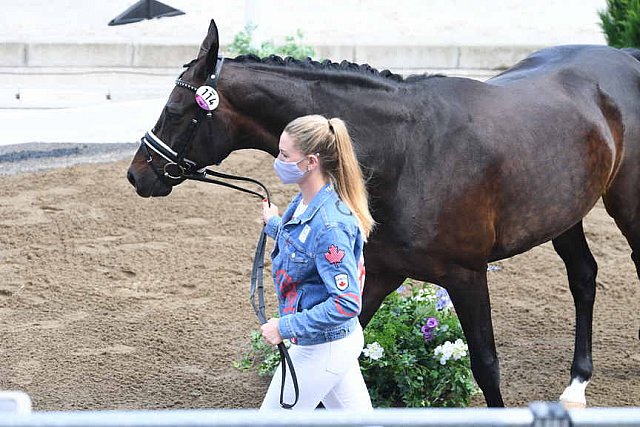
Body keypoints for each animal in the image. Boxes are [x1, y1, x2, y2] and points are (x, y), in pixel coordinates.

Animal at [126, 20, 640, 408]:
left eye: (175, 110)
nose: (137, 174)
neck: (408, 151)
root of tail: (626, 58)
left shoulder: (467, 275)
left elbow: (486, 365)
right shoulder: (377, 272)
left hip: (626, 205)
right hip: (564, 212)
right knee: (583, 276)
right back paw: (576, 385)